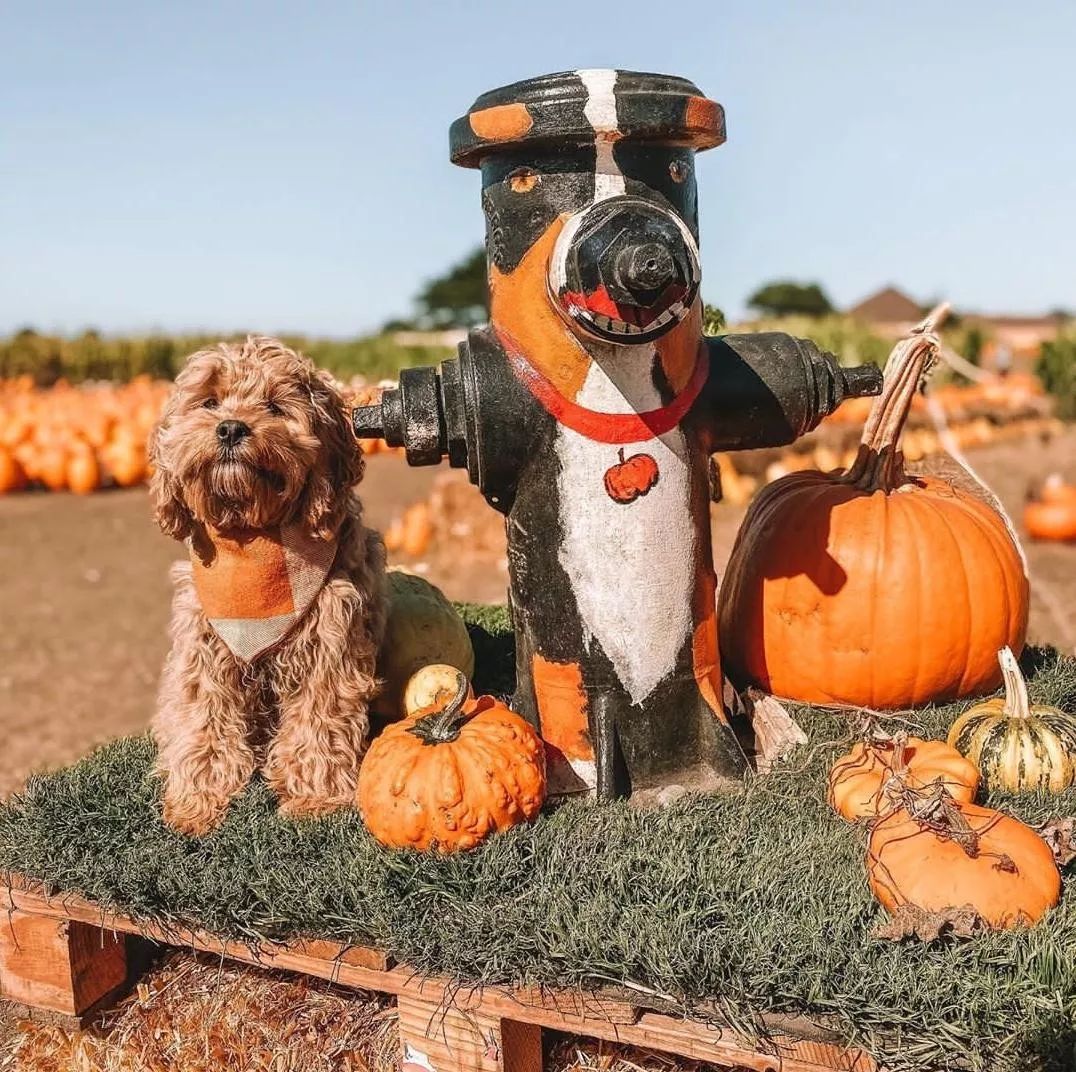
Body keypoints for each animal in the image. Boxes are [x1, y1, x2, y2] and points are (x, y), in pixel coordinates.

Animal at [147, 335, 387, 839]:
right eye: (209, 401)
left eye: (275, 406)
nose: (230, 428)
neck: (252, 538)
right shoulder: (203, 645)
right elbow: (204, 718)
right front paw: (197, 800)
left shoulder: (331, 640)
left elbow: (319, 719)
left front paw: (315, 798)